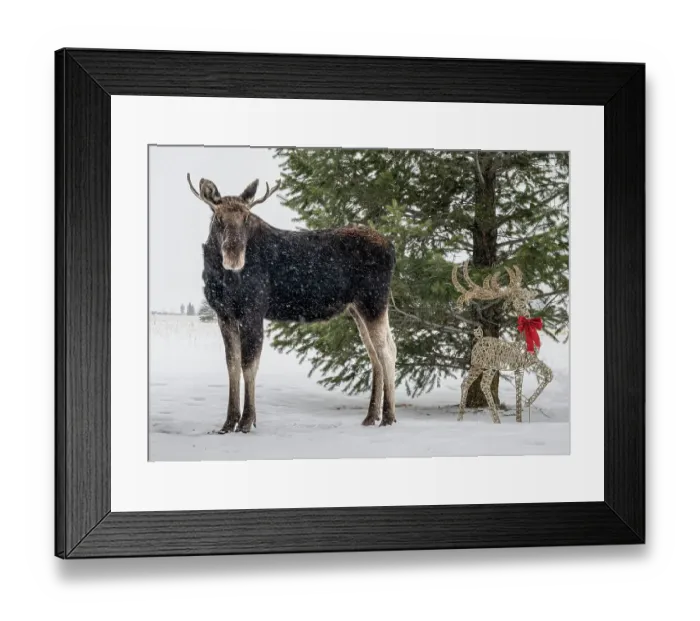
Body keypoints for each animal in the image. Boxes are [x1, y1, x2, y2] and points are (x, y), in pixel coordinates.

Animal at [187, 174, 397, 434]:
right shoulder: (223, 314)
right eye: (218, 218)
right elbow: (232, 365)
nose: (233, 256)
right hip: (357, 308)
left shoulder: (253, 310)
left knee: (388, 351)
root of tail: (392, 248)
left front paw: (247, 421)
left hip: (374, 301)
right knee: (375, 355)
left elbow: (249, 365)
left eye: (246, 217)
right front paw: (228, 422)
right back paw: (371, 416)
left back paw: (388, 416)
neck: (222, 277)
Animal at [451, 262, 553, 424]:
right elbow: (523, 390)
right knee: (483, 384)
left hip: (480, 366)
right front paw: (523, 410)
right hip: (485, 365)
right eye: (519, 296)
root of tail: (479, 339)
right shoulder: (522, 364)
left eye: (524, 293)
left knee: (466, 382)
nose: (533, 294)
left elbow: (548, 375)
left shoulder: (528, 363)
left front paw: (524, 409)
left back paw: (460, 418)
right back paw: (496, 420)